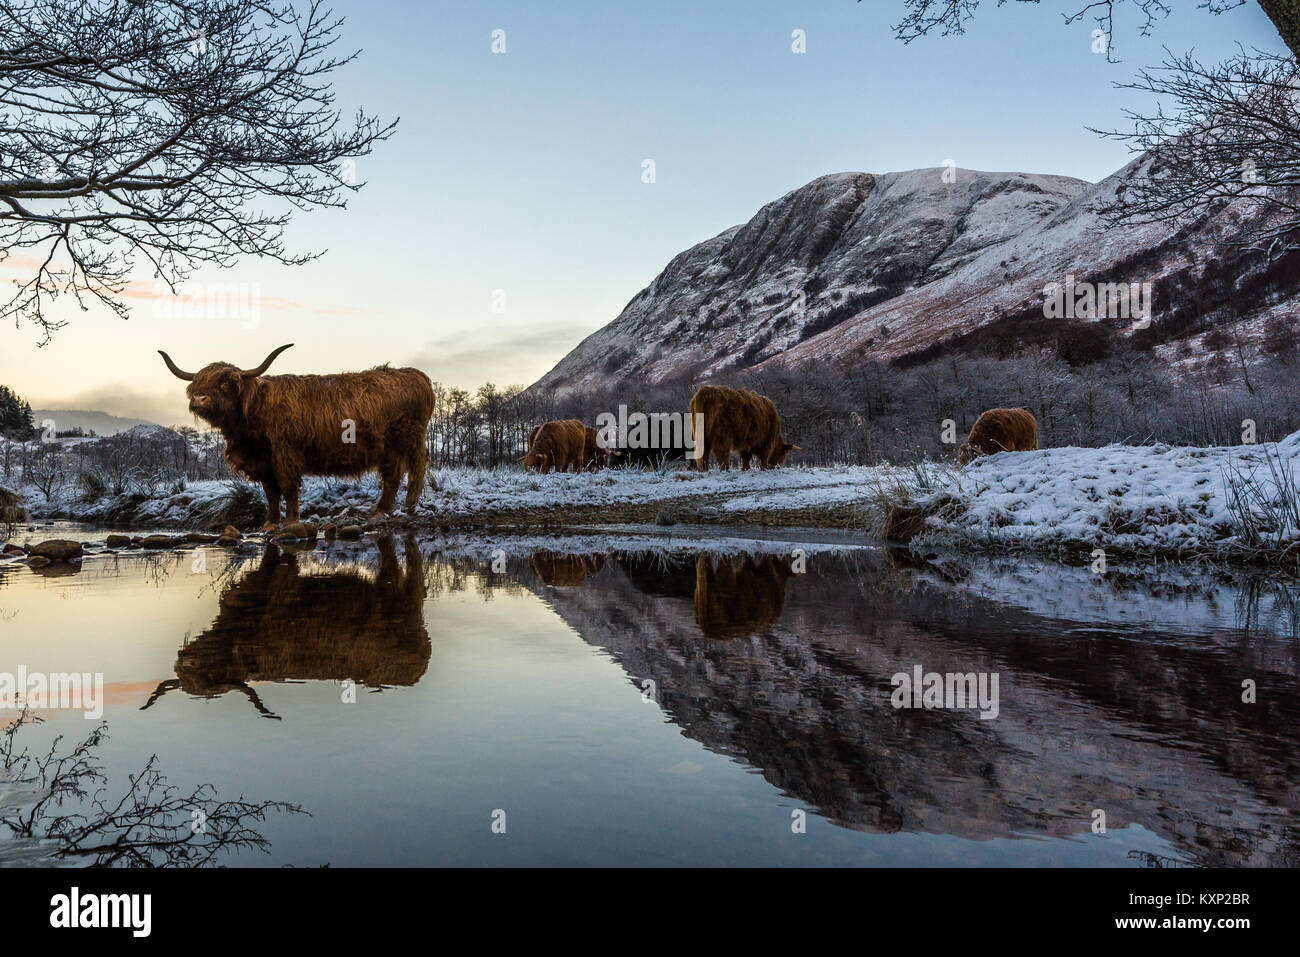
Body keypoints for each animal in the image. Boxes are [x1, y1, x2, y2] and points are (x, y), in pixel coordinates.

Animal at [159, 343, 434, 530]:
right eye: (197, 383)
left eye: (226, 383)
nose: (199, 398)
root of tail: (416, 375)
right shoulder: (263, 461)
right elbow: (271, 493)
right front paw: (270, 524)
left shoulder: (285, 454)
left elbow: (288, 487)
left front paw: (291, 523)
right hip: (394, 448)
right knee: (398, 476)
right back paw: (388, 509)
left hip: (403, 442)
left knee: (406, 474)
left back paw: (393, 509)